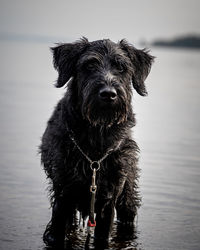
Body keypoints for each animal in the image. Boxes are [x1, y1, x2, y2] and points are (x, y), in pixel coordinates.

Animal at [39, 37, 154, 248]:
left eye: (121, 67)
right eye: (90, 65)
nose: (108, 93)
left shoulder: (109, 200)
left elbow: (103, 235)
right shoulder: (63, 196)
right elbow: (57, 232)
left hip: (127, 195)